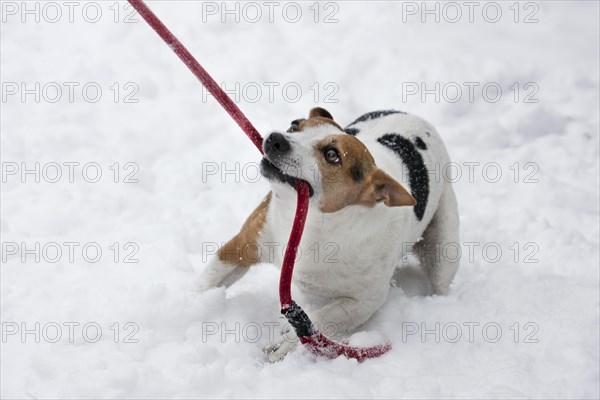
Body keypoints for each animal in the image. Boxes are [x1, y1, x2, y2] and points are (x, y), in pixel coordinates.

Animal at [197, 107, 460, 362]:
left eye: (332, 155)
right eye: (294, 126)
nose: (275, 139)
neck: (314, 225)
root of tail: (414, 117)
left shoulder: (364, 302)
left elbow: (321, 319)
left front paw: (288, 342)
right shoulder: (242, 246)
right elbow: (207, 282)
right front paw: (192, 307)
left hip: (444, 247)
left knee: (440, 278)